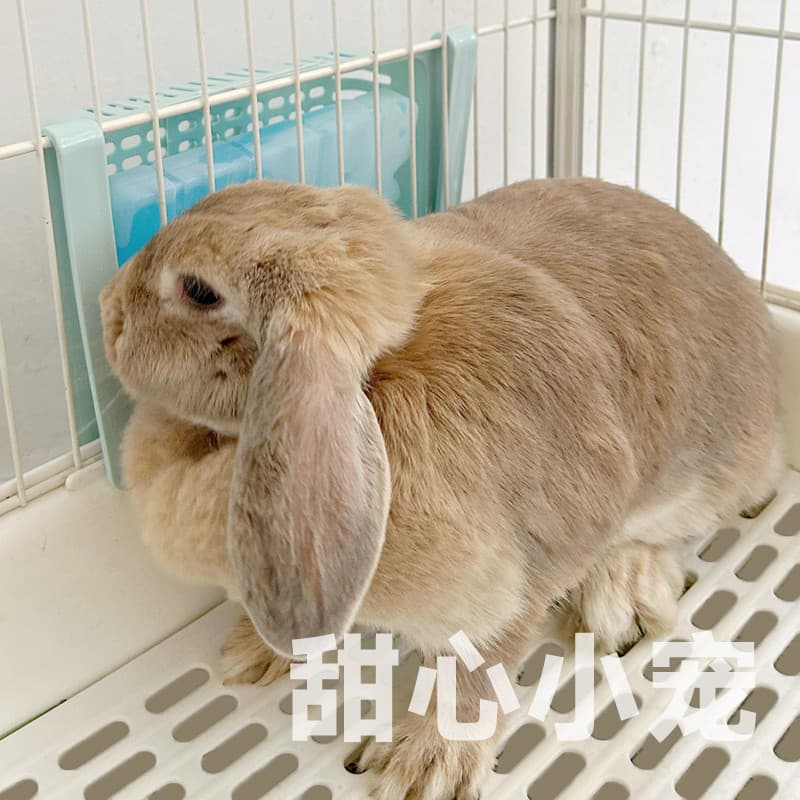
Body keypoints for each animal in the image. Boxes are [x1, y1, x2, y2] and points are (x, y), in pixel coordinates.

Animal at [100, 177, 783, 800]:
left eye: (198, 290)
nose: (107, 306)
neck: (380, 378)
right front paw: (253, 652)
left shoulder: (512, 584)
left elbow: (477, 673)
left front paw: (424, 768)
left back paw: (622, 597)